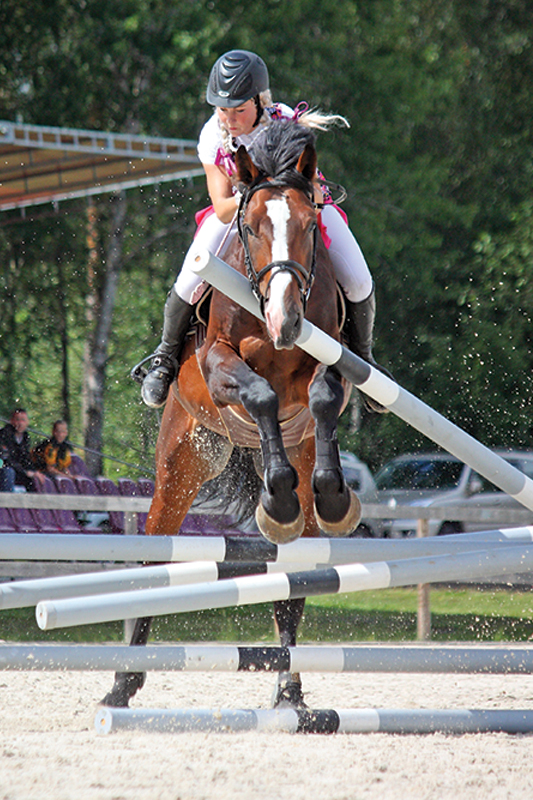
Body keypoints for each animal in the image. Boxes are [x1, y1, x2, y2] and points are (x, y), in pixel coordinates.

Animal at [102, 120, 362, 709]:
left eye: (310, 224)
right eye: (252, 224)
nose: (286, 321)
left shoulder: (328, 360)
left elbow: (323, 397)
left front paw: (332, 495)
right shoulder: (219, 362)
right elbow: (260, 395)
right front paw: (278, 496)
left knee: (295, 579)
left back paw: (291, 693)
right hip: (183, 461)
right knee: (155, 559)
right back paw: (122, 684)